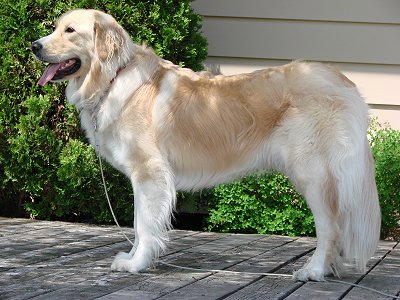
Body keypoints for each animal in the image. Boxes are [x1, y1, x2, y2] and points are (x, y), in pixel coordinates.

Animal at [32, 9, 382, 282]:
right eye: (56, 27)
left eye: (69, 31)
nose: (34, 45)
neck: (113, 76)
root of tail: (344, 81)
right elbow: (138, 225)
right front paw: (132, 258)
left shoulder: (150, 174)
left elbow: (143, 224)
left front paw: (137, 263)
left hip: (313, 174)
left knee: (330, 228)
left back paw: (314, 270)